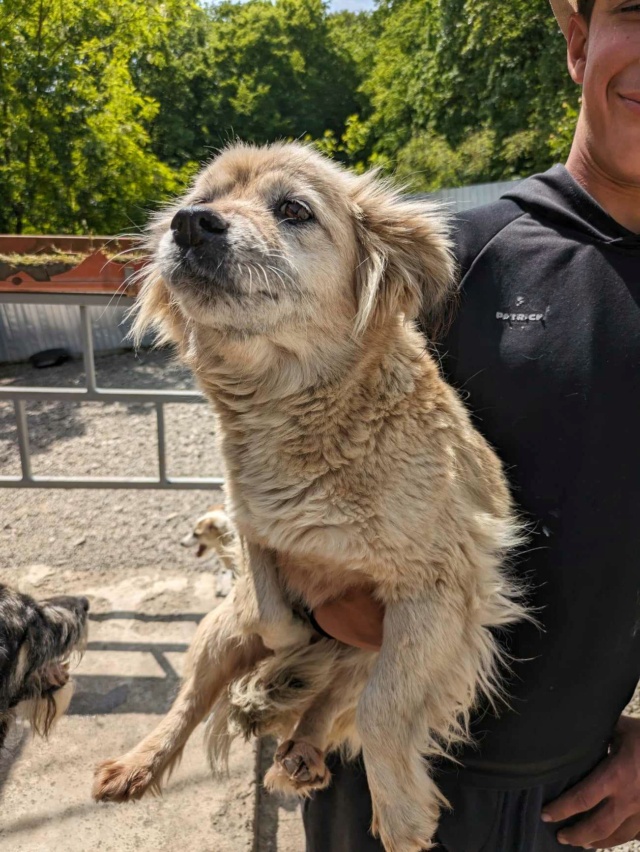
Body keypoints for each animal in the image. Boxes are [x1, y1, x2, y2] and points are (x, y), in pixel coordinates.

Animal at [91, 143, 524, 848]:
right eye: (202, 199)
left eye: (294, 210)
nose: (189, 224)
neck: (290, 409)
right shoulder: (253, 533)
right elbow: (270, 613)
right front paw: (288, 647)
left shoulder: (438, 594)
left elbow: (381, 713)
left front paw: (400, 813)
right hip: (214, 636)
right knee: (190, 699)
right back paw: (147, 759)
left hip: (375, 652)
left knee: (341, 697)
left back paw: (300, 746)